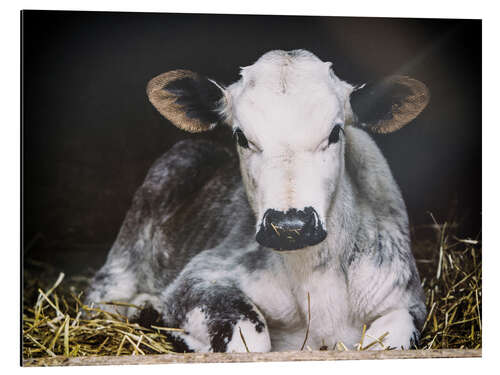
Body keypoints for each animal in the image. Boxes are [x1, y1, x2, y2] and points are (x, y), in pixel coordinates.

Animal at [86, 49, 430, 352]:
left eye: (335, 133)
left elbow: (389, 342)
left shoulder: (407, 300)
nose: (290, 225)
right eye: (241, 136)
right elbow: (250, 340)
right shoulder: (201, 277)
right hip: (126, 251)